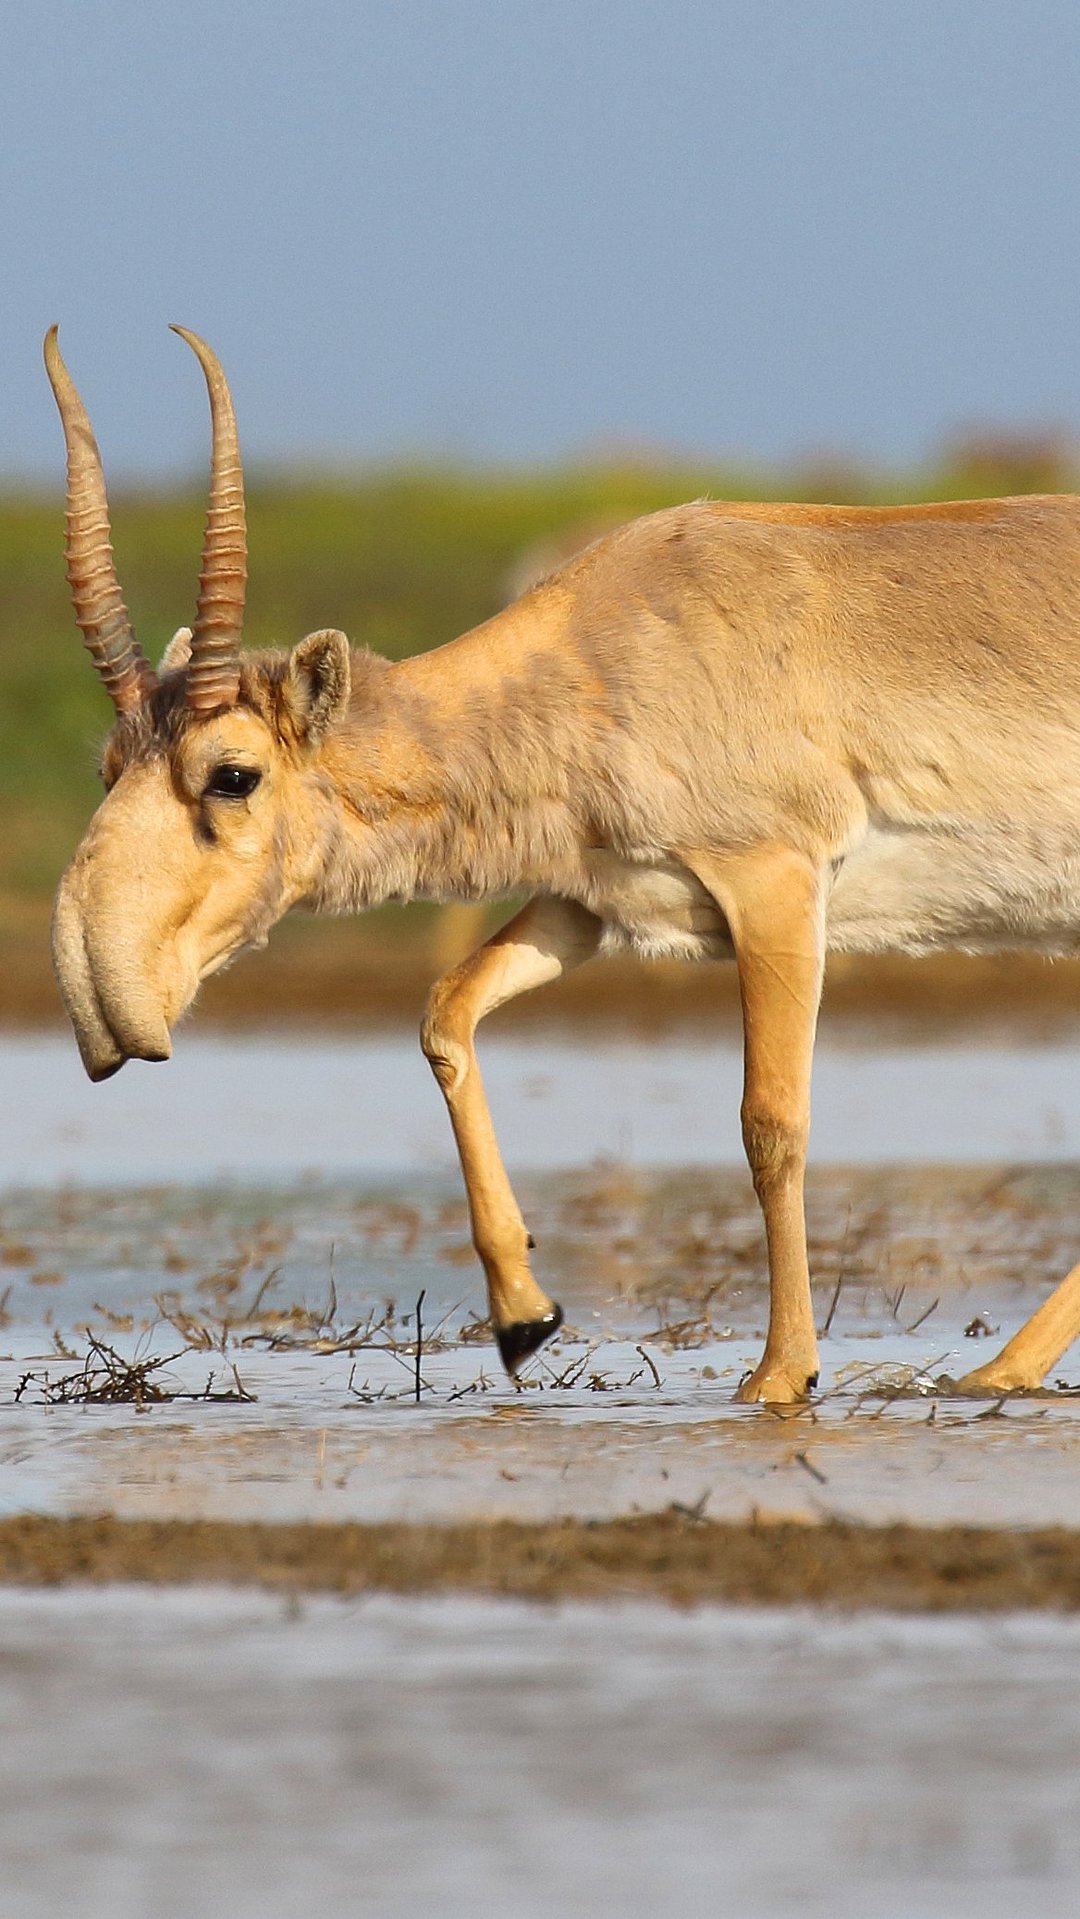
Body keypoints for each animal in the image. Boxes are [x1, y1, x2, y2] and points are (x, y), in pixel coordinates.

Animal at [44, 327, 1080, 1403]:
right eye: (108, 764)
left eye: (233, 773)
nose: (100, 998)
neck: (607, 645)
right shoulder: (592, 906)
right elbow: (445, 1012)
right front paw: (524, 1317)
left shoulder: (775, 885)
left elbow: (771, 1120)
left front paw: (778, 1374)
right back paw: (1002, 1367)